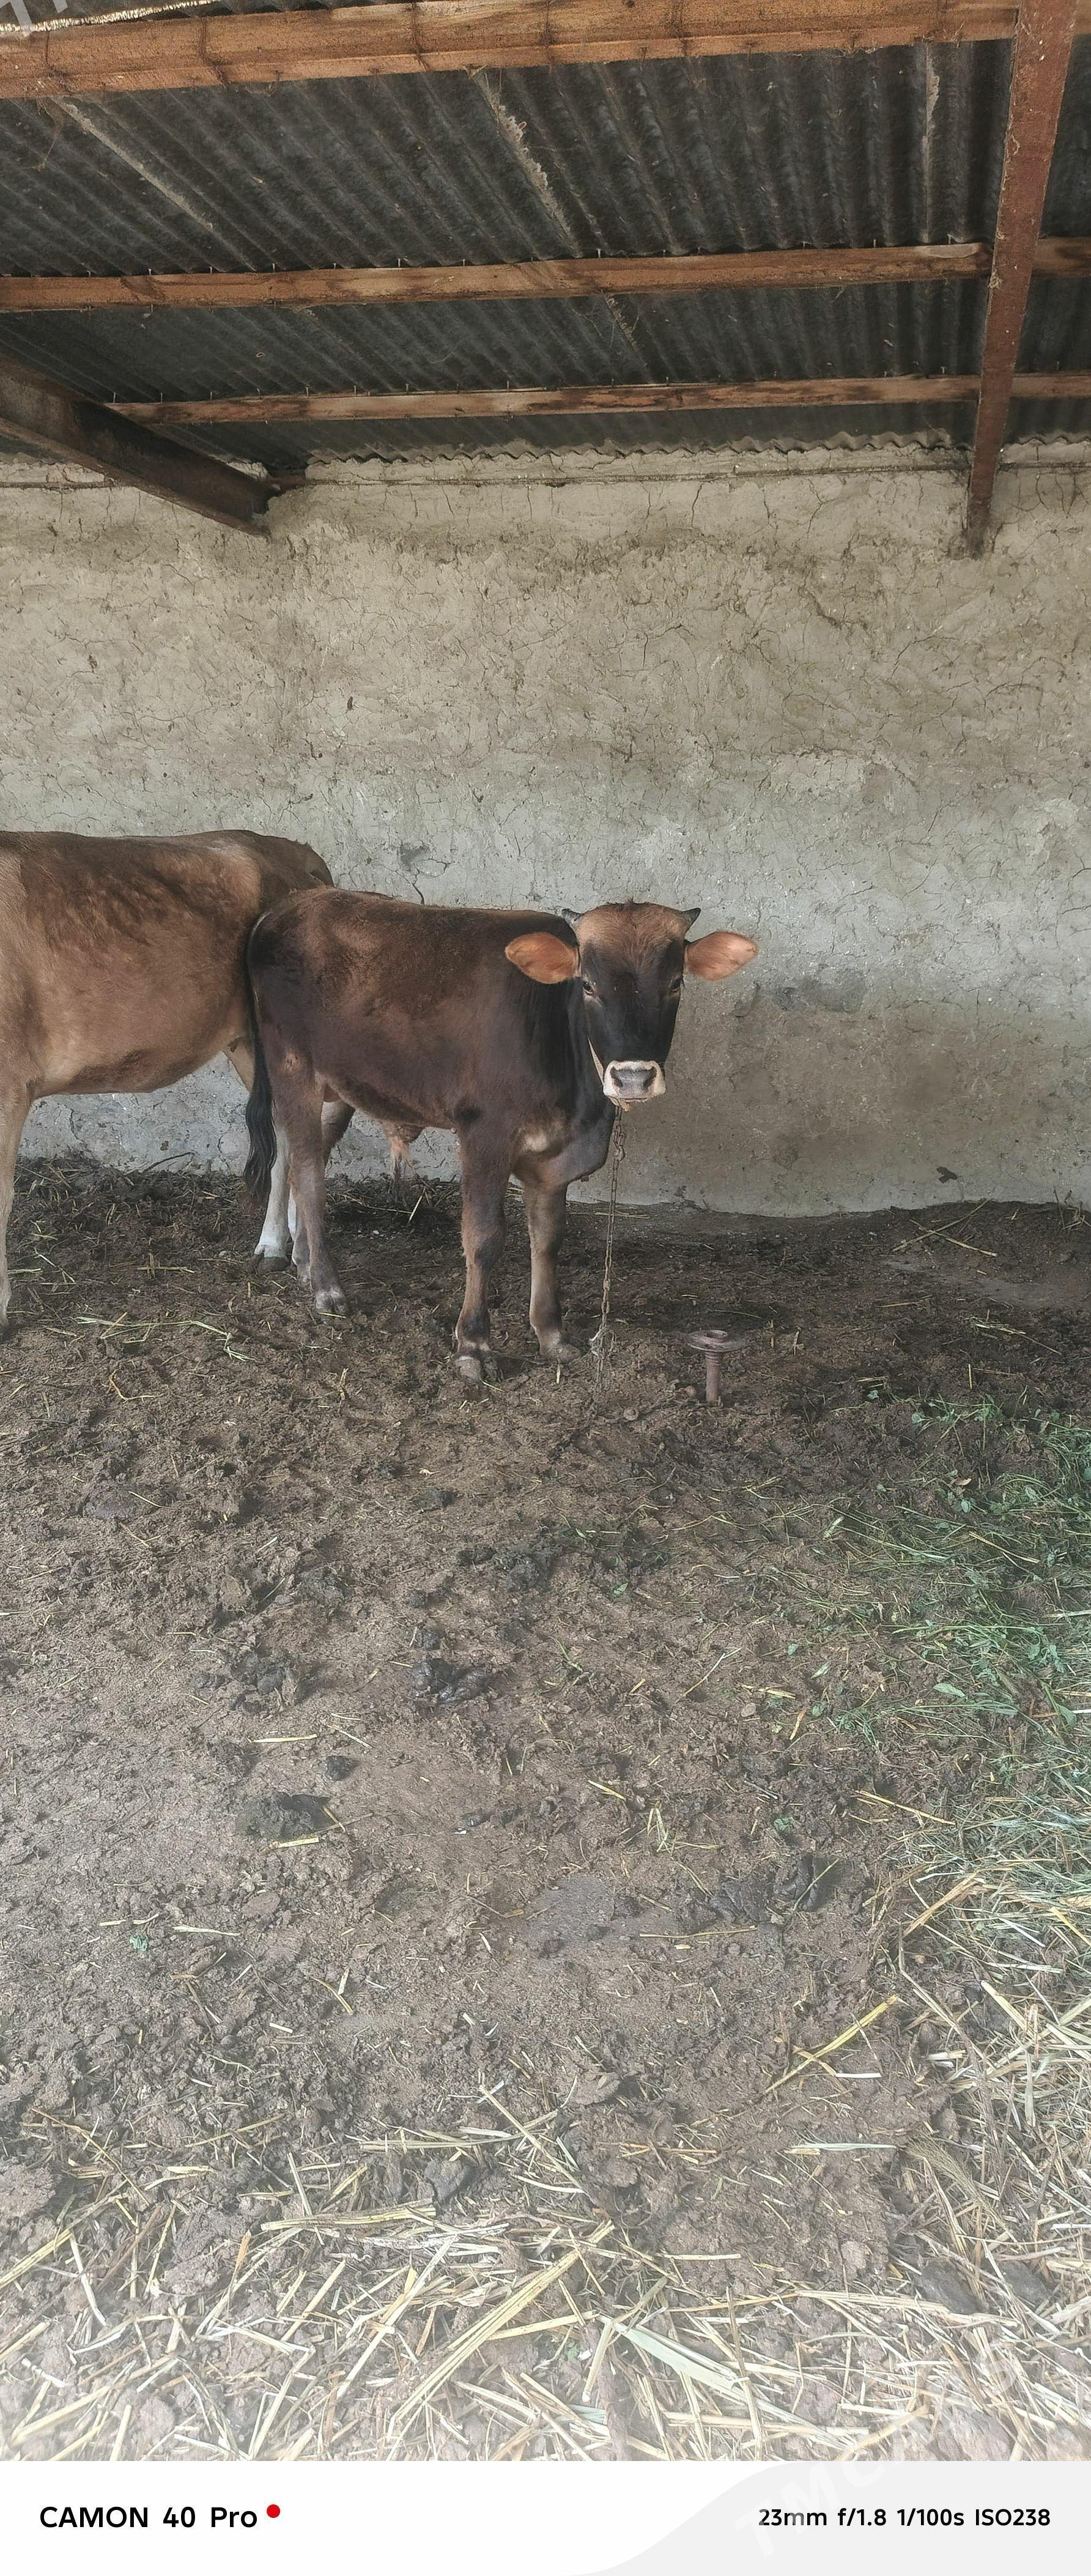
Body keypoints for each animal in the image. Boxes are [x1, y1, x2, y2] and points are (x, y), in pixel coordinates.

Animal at [243, 893, 757, 1377]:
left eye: (675, 983)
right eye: (587, 985)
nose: (633, 1077)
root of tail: (292, 904)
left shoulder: (555, 1160)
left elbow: (548, 1238)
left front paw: (552, 1334)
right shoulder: (485, 1134)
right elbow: (484, 1237)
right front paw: (474, 1344)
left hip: (337, 1088)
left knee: (299, 1156)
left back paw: (302, 1261)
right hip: (293, 1068)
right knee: (307, 1173)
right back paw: (326, 1288)